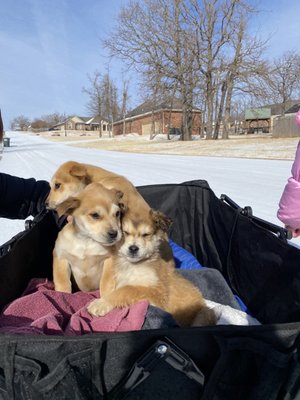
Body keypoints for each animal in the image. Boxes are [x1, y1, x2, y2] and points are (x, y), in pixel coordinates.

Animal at [86, 208, 216, 326]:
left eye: (146, 235)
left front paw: (100, 303)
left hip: (204, 314)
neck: (133, 266)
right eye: (125, 233)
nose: (133, 248)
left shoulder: (156, 291)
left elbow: (125, 290)